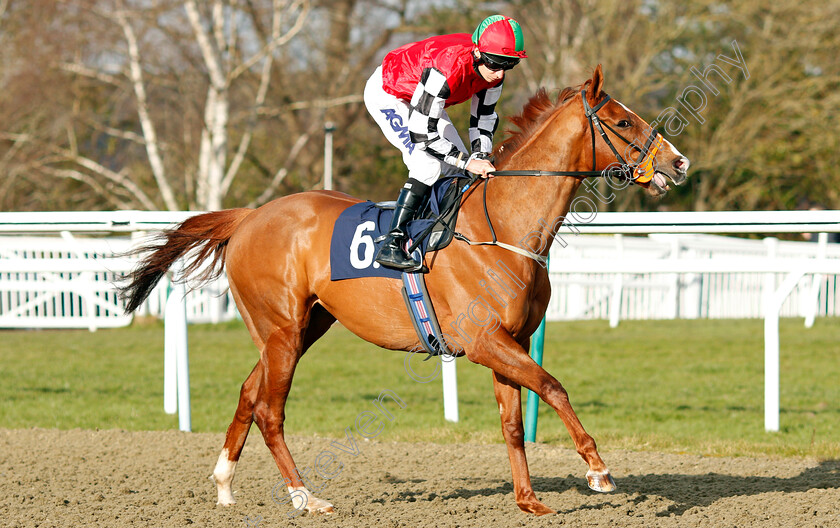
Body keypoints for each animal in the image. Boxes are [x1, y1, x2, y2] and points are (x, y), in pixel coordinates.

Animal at [123, 66, 688, 516]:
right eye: (622, 122)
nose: (678, 162)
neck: (502, 227)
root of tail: (249, 216)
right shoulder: (485, 341)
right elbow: (553, 387)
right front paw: (598, 470)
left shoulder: (513, 341)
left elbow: (511, 421)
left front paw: (528, 500)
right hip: (281, 329)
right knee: (269, 410)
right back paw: (306, 496)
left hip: (301, 327)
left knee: (248, 392)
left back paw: (224, 484)